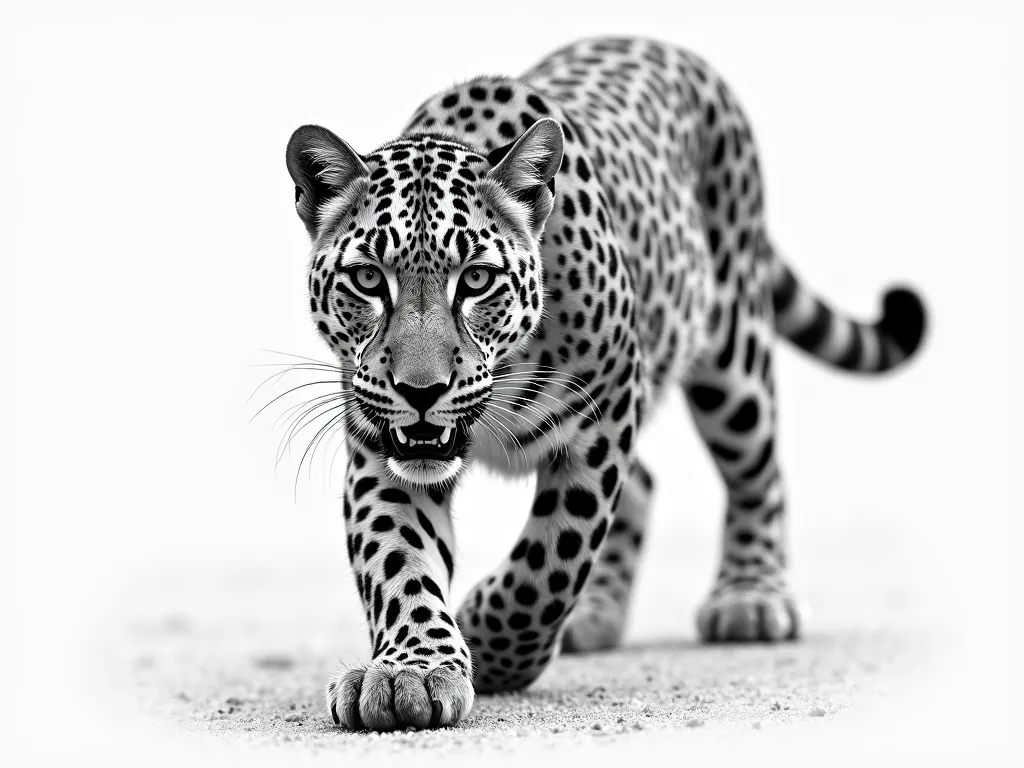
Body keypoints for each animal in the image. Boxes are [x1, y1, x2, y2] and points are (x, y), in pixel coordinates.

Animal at [283, 36, 927, 732]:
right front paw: (412, 671)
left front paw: (490, 644)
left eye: (476, 280)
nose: (420, 390)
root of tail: (665, 47)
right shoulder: (381, 448)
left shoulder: (603, 417)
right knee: (645, 484)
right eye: (368, 279)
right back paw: (596, 616)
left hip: (734, 357)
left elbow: (551, 561)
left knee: (758, 471)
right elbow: (398, 562)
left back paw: (750, 597)